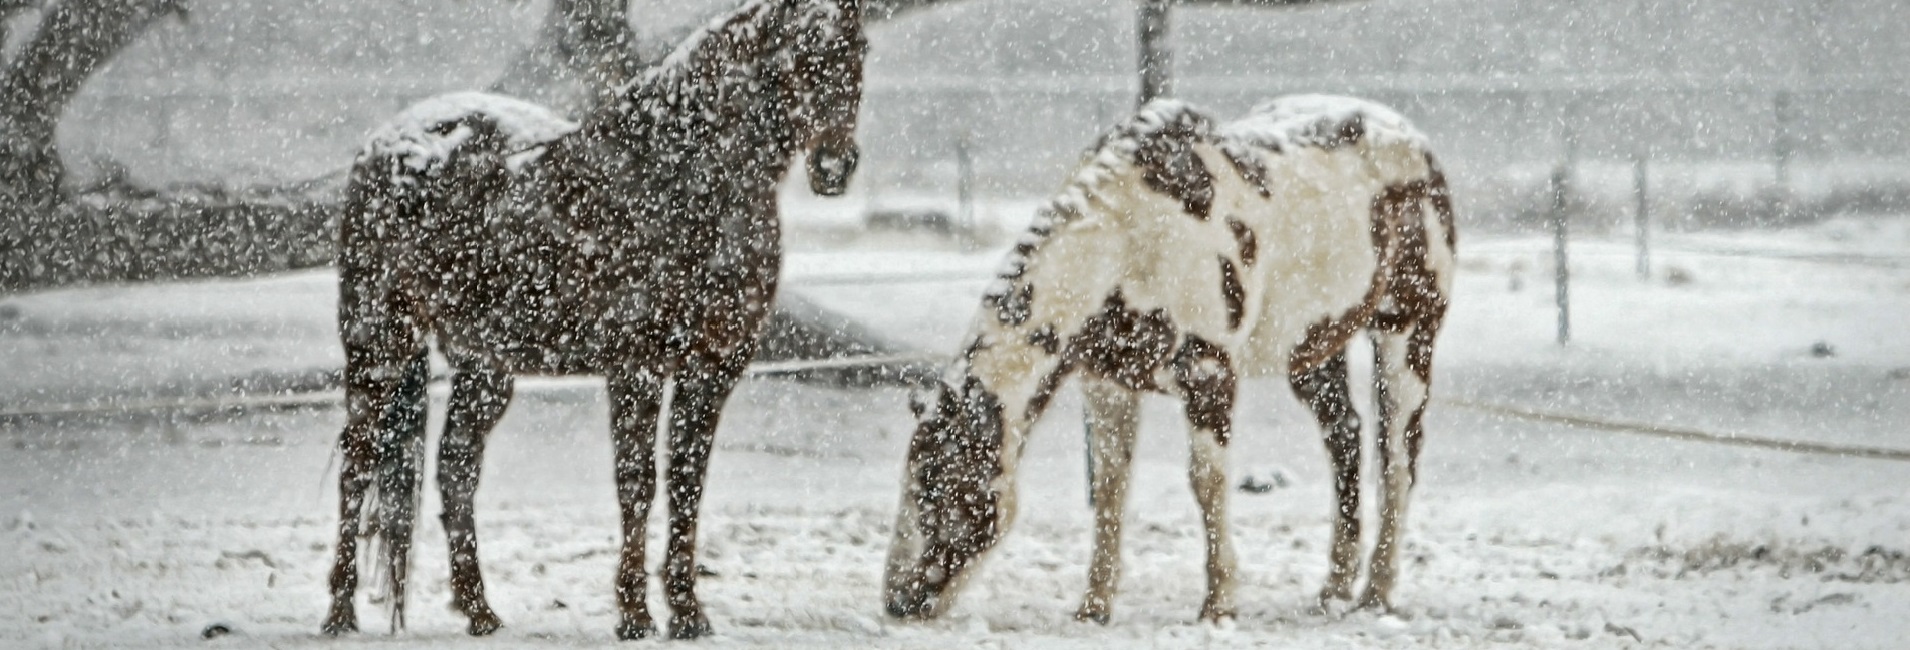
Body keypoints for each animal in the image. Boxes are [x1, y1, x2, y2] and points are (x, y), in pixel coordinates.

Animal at [324, 0, 870, 638]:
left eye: (858, 47)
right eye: (797, 51)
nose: (834, 166)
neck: (682, 176)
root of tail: (387, 144)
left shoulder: (712, 369)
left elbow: (687, 484)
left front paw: (688, 612)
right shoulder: (637, 367)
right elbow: (638, 484)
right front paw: (634, 613)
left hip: (484, 366)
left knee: (456, 467)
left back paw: (480, 610)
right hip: (379, 343)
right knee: (358, 462)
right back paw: (340, 612)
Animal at [886, 94, 1451, 623]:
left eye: (940, 487)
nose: (898, 602)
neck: (1130, 240)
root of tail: (1416, 142)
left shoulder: (1208, 375)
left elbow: (1206, 482)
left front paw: (1219, 605)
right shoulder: (1108, 384)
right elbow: (1110, 488)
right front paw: (1094, 606)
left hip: (1406, 335)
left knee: (1397, 458)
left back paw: (1377, 593)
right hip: (1313, 352)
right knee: (1345, 439)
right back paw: (1333, 590)